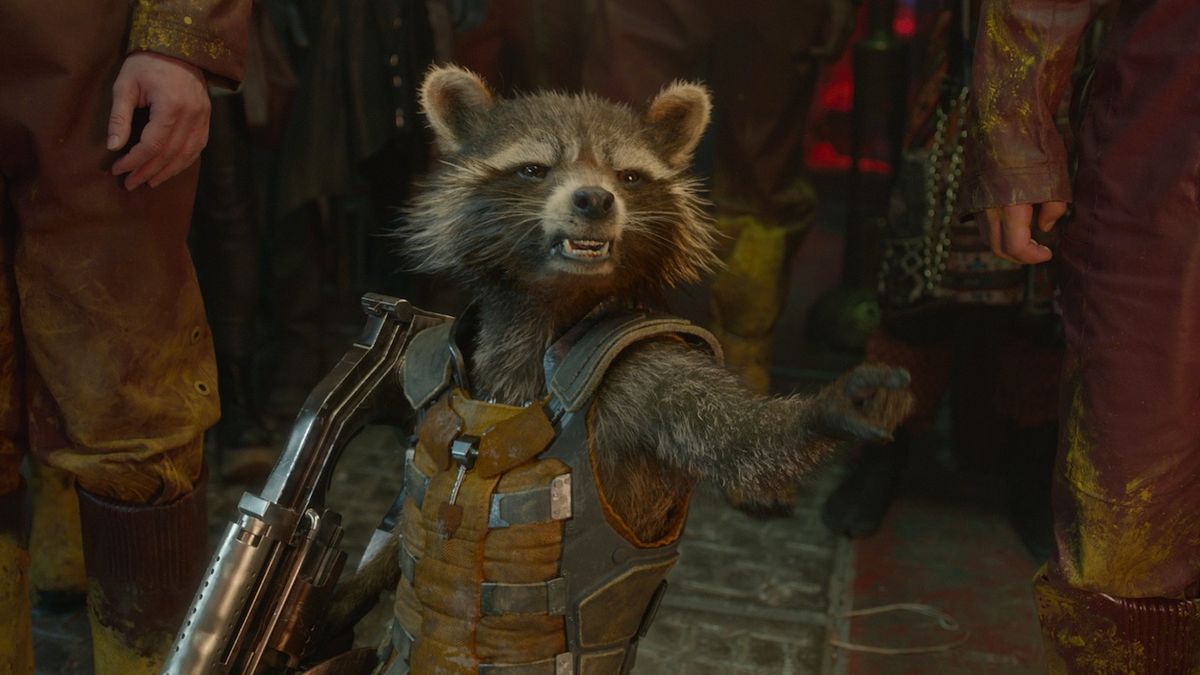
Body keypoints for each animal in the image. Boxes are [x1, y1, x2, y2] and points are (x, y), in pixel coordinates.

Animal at [327, 66, 911, 668]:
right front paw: (343, 598)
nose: (594, 199)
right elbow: (401, 519)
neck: (554, 306)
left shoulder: (646, 372)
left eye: (628, 176)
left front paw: (824, 411)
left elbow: (746, 441)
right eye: (535, 169)